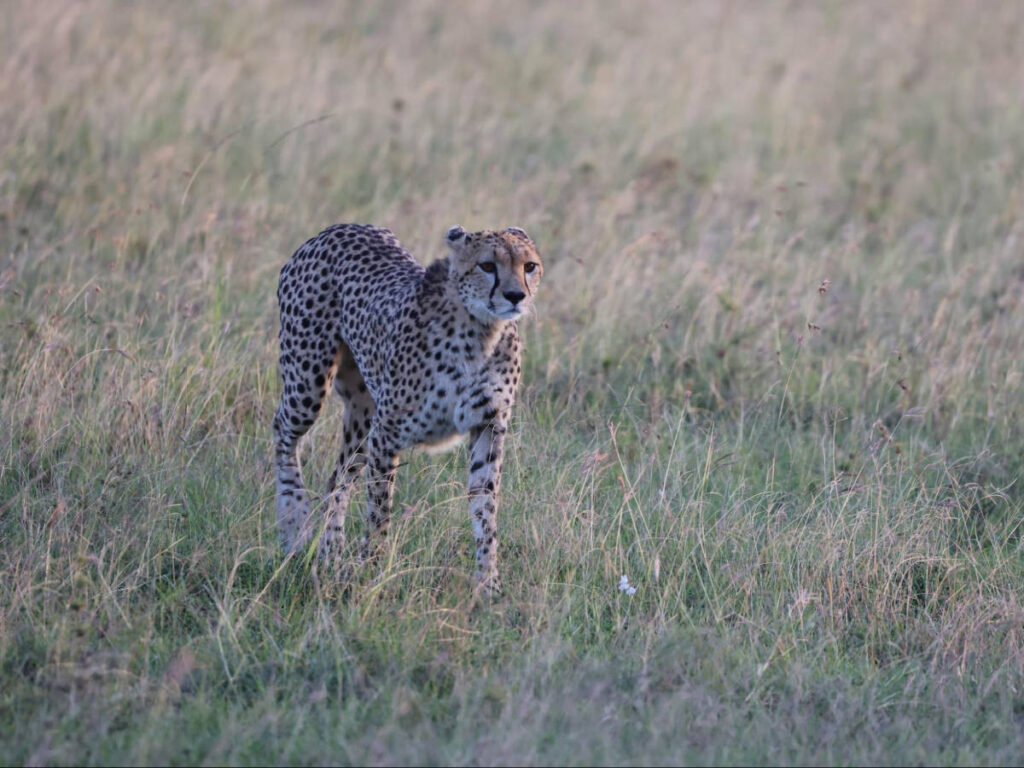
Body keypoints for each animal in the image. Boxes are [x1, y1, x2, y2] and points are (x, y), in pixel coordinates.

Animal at [272, 222, 542, 595]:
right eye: (488, 265)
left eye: (529, 266)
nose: (516, 296)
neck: (481, 331)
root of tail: (337, 228)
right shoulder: (387, 434)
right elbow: (379, 511)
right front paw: (371, 571)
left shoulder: (488, 427)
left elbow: (485, 508)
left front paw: (489, 584)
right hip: (308, 382)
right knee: (282, 431)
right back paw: (294, 526)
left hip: (363, 411)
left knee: (338, 476)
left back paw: (331, 552)